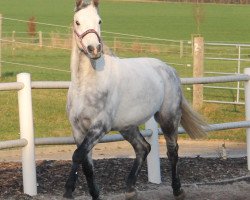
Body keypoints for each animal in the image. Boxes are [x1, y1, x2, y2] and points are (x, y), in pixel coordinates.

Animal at [64, 0, 207, 199]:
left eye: (99, 21)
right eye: (77, 21)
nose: (94, 49)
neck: (86, 84)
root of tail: (169, 69)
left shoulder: (99, 127)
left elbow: (77, 156)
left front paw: (68, 191)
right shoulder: (78, 129)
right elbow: (86, 163)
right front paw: (93, 193)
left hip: (168, 118)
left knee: (172, 151)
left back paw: (178, 189)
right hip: (128, 126)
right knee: (143, 148)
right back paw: (130, 188)